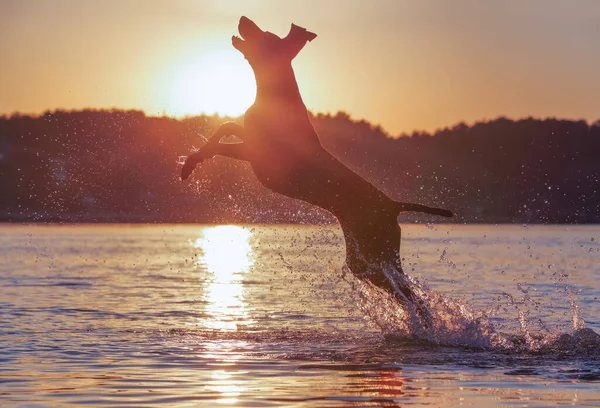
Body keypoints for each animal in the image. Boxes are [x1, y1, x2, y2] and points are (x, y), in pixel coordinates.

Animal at [180, 16, 452, 326]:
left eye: (266, 35)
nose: (243, 19)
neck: (274, 94)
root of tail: (393, 205)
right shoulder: (250, 143)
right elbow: (226, 128)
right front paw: (193, 160)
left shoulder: (260, 154)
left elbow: (224, 134)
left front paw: (193, 161)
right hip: (367, 259)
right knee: (405, 290)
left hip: (373, 257)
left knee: (408, 294)